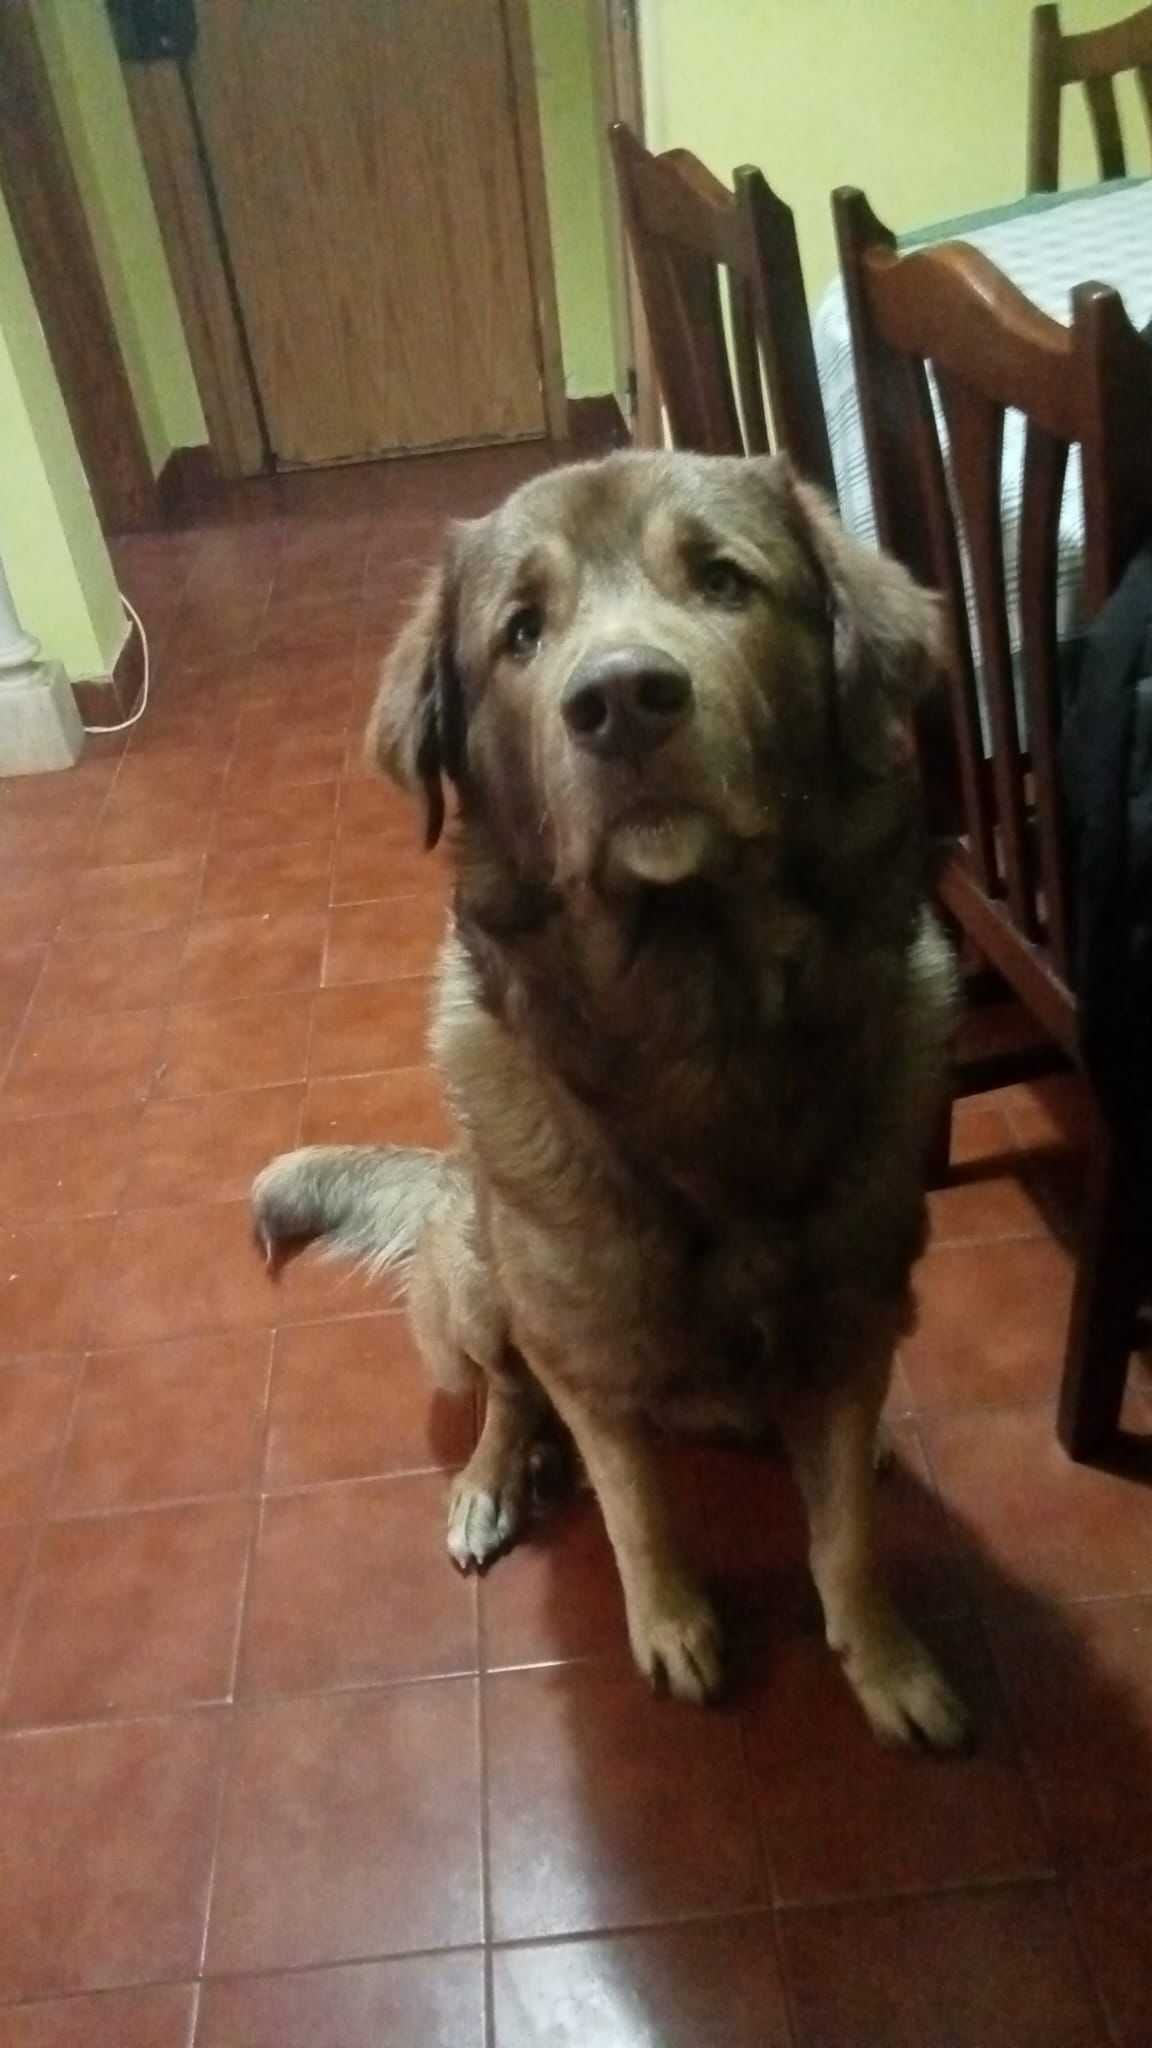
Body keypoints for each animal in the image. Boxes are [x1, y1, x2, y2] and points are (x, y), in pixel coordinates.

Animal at [251, 456, 967, 1753]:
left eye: (725, 581)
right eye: (521, 634)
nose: (625, 701)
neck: (697, 1022)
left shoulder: (851, 1316)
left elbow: (843, 1532)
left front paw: (886, 1660)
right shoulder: (582, 1344)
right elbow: (638, 1511)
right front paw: (673, 1625)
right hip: (486, 1273)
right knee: (502, 1393)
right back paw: (494, 1481)